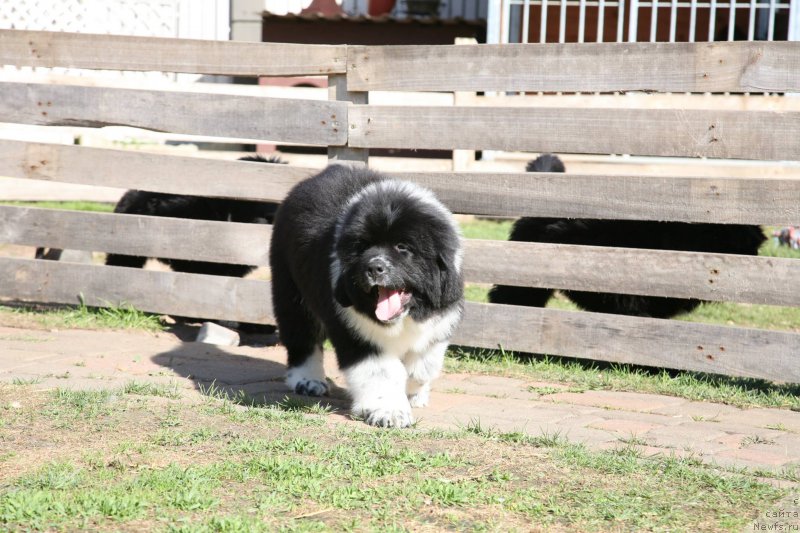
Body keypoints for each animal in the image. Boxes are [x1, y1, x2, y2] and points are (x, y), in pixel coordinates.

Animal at [272, 164, 466, 426]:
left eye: (402, 247)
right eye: (362, 247)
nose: (374, 267)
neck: (404, 317)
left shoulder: (440, 319)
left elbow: (423, 366)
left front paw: (414, 392)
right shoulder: (357, 332)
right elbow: (382, 372)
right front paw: (389, 413)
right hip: (291, 291)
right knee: (302, 336)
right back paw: (307, 380)